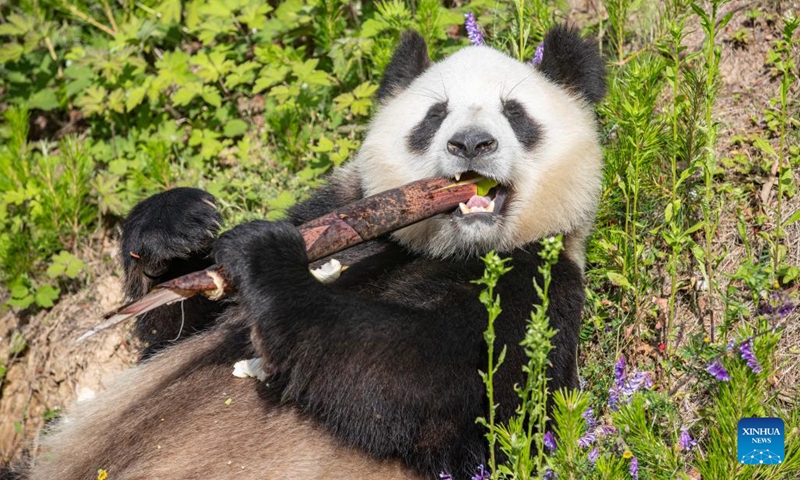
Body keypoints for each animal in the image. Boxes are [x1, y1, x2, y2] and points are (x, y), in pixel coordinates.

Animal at [24, 25, 604, 480]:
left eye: (515, 113)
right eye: (434, 116)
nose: (471, 144)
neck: (448, 249)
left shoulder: (536, 284)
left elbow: (415, 379)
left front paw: (264, 256)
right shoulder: (339, 208)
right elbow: (173, 332)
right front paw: (178, 227)